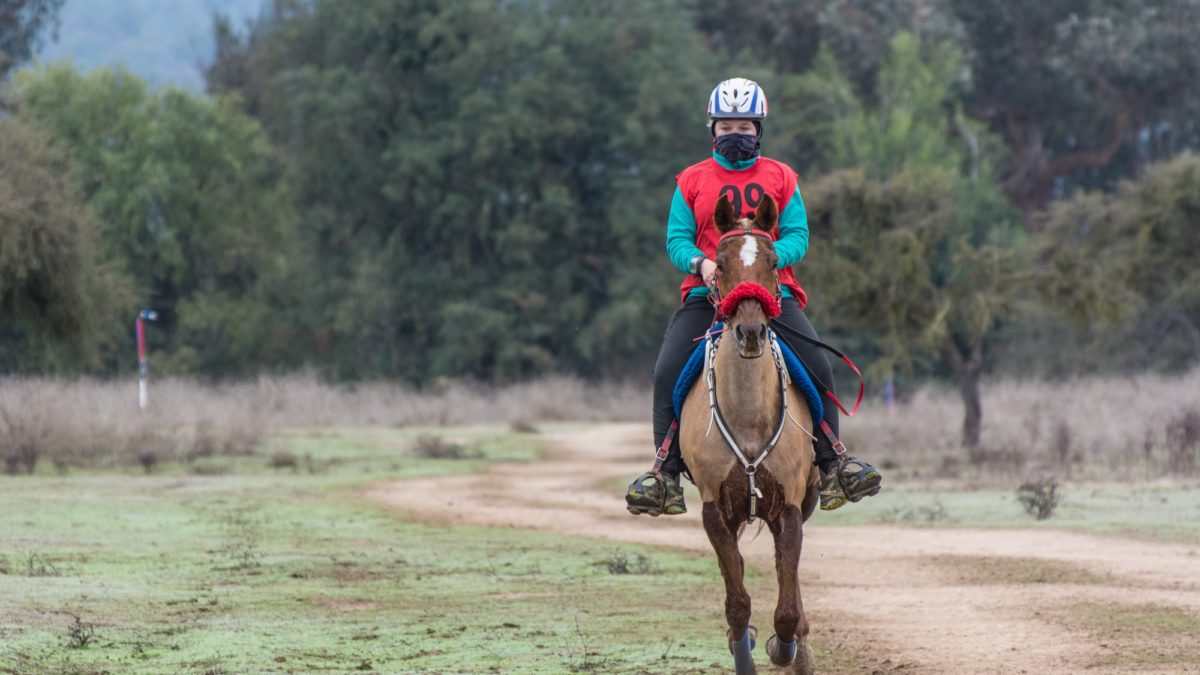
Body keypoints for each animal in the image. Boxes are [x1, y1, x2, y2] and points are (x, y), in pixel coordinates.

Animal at [681, 192, 820, 667]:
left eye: (774, 261)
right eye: (719, 264)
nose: (752, 333)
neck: (747, 415)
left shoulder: (790, 506)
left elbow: (788, 606)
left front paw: (786, 646)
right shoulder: (714, 511)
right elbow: (738, 603)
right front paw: (744, 647)